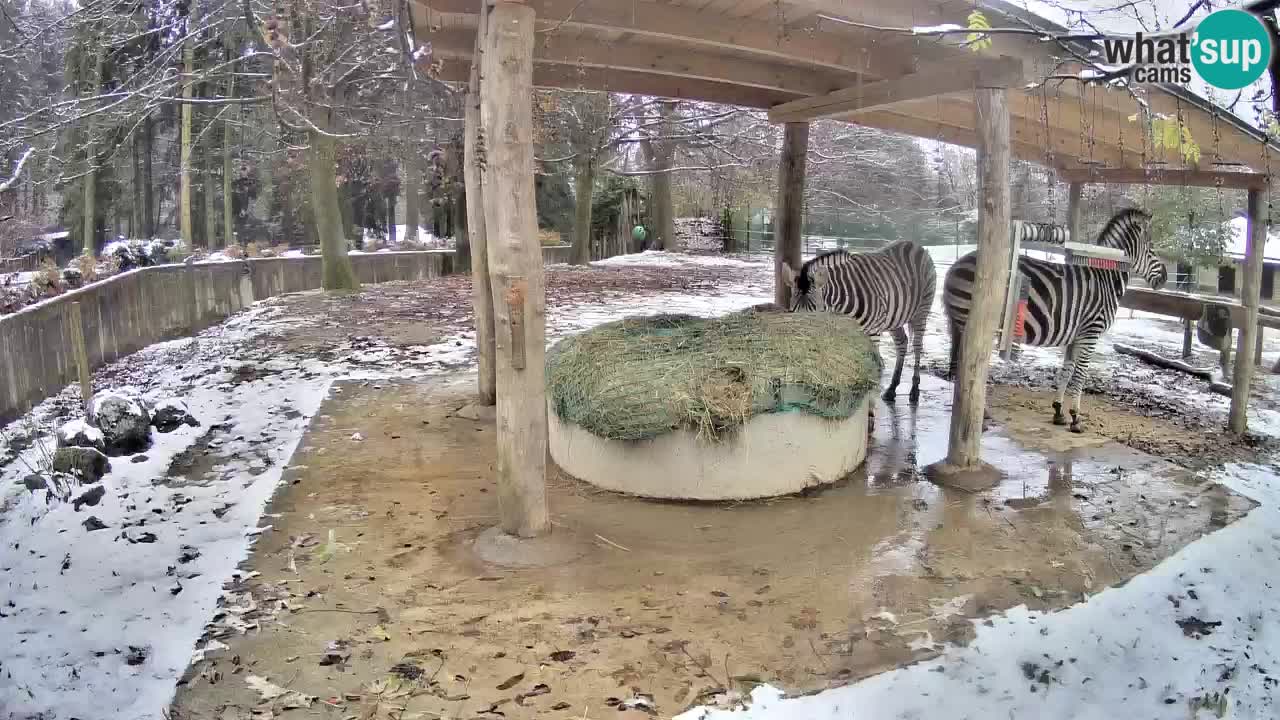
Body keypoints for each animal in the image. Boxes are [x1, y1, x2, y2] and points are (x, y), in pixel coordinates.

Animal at [778, 240, 942, 404]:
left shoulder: (874, 333)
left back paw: (914, 391)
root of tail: (913, 244)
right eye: (792, 311)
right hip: (895, 318)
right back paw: (892, 389)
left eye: (817, 313)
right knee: (902, 342)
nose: (802, 348)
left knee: (917, 346)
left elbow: (873, 365)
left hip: (921, 311)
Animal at [942, 207, 1172, 430]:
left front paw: (1059, 411)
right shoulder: (1092, 331)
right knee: (970, 368)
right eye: (1151, 248)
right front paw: (1076, 418)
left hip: (960, 322)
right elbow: (1081, 374)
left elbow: (1068, 370)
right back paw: (981, 418)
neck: (1105, 279)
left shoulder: (1076, 334)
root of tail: (955, 265)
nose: (1165, 278)